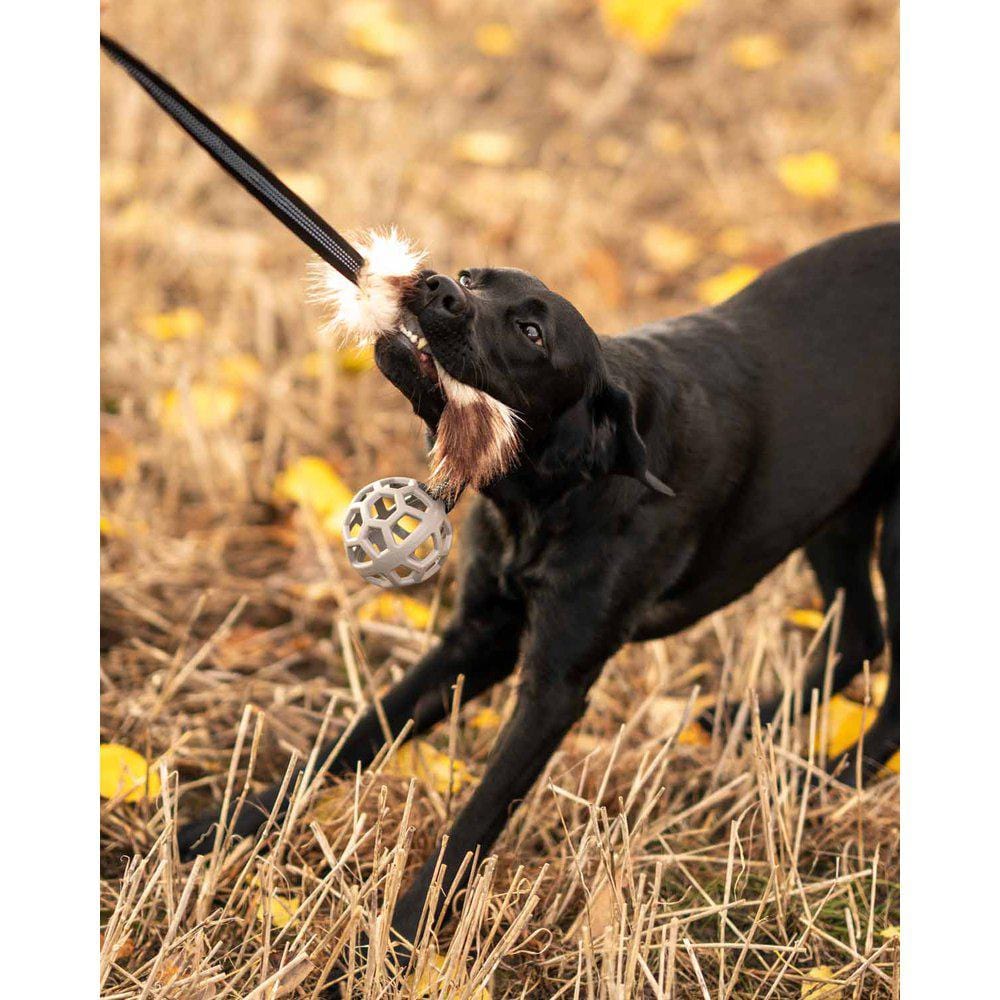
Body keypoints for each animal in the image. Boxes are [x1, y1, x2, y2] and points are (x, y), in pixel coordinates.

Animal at [176, 225, 904, 960]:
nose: (437, 284)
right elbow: (360, 733)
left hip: (891, 536)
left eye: (531, 333)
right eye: (474, 278)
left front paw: (403, 935)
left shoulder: (554, 687)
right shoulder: (477, 638)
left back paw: (841, 773)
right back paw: (750, 722)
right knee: (859, 636)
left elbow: (477, 817)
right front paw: (225, 824)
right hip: (832, 507)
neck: (553, 488)